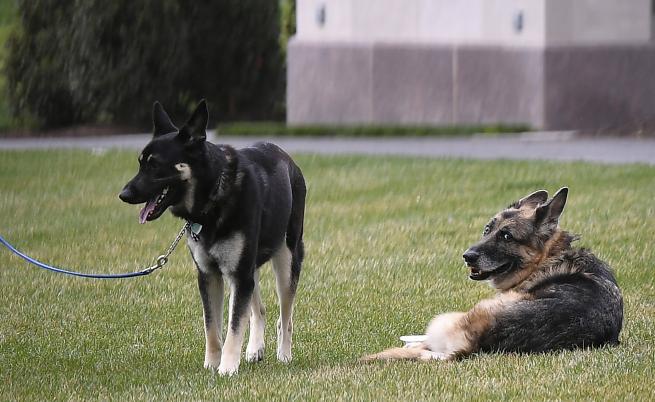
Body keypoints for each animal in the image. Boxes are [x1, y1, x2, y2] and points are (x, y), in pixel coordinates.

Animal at [119, 99, 306, 374]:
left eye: (154, 165)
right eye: (140, 162)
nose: (123, 194)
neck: (214, 194)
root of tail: (288, 159)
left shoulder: (238, 275)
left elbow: (234, 327)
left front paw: (227, 368)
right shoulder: (210, 276)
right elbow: (212, 327)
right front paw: (211, 365)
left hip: (286, 260)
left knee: (286, 317)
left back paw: (284, 354)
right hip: (249, 269)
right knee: (259, 310)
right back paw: (255, 349)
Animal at [364, 188, 624, 362]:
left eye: (507, 236)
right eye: (487, 230)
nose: (467, 256)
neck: (548, 257)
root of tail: (475, 344)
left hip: (453, 316)